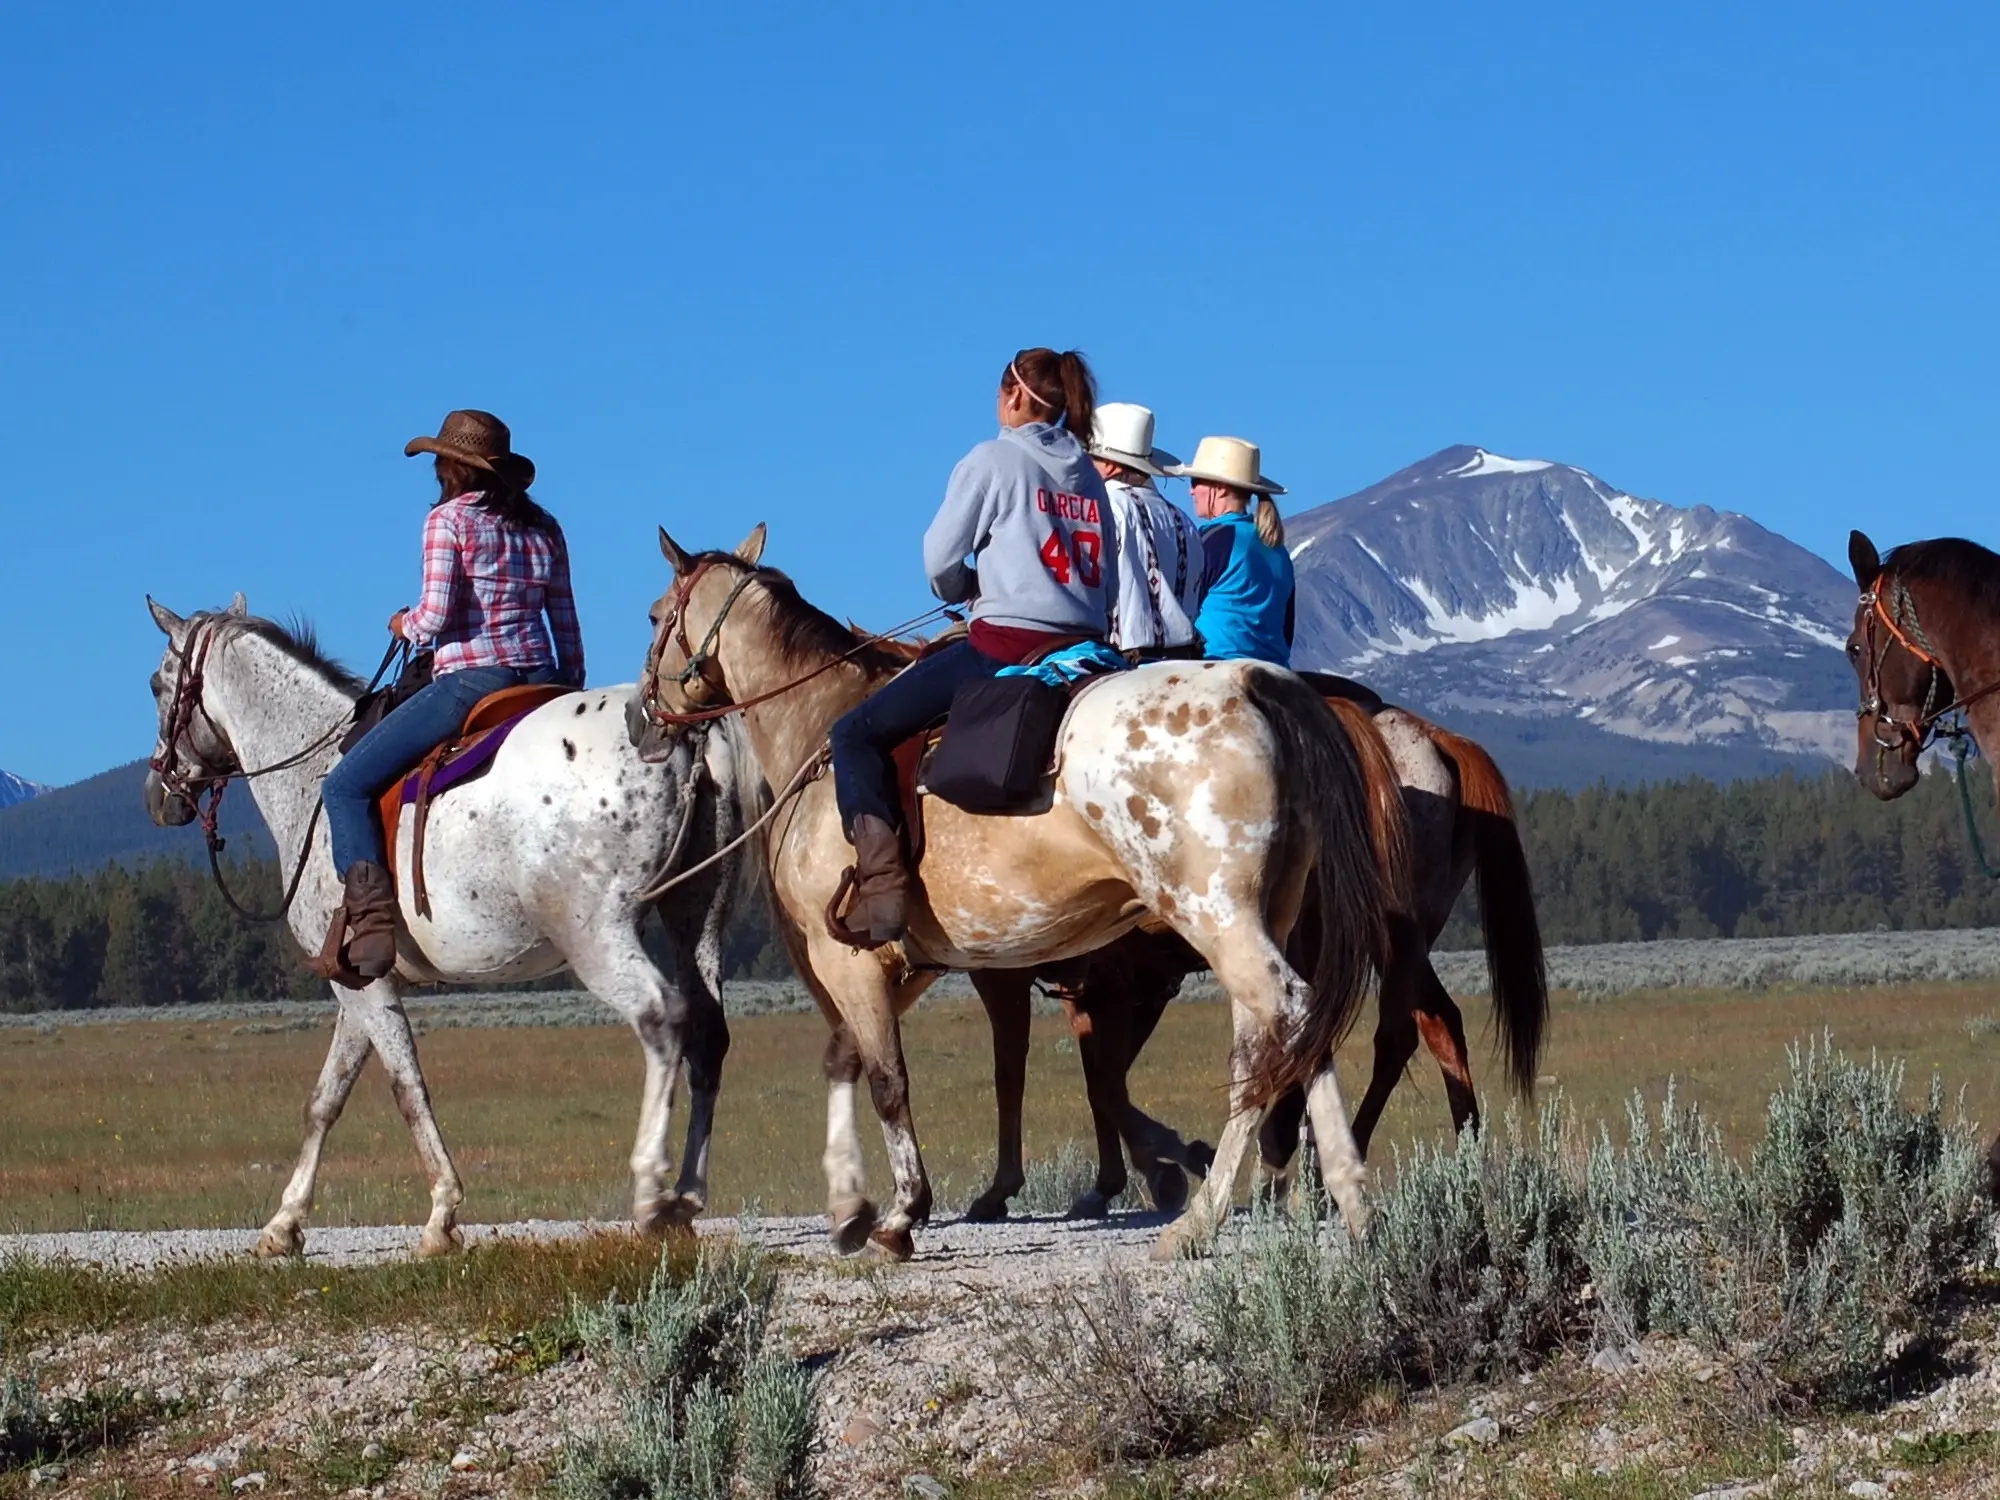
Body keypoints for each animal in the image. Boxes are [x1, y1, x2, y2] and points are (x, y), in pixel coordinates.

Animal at [139, 596, 752, 1256]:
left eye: (156, 685)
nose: (158, 795)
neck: (312, 776)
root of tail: (680, 733)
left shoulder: (363, 985)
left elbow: (407, 1088)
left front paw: (441, 1214)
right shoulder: (359, 982)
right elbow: (326, 1099)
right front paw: (284, 1224)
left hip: (598, 935)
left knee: (661, 1019)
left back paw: (650, 1195)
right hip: (696, 919)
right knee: (707, 1036)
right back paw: (687, 1195)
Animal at [628, 524, 1408, 1256]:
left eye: (655, 614)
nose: (641, 720)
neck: (817, 726)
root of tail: (1252, 683)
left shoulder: (848, 958)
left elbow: (889, 1079)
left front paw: (901, 1214)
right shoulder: (916, 963)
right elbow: (855, 1058)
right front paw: (852, 1206)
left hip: (1220, 919)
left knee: (1291, 1016)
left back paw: (1303, 1200)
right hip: (1261, 919)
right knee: (1276, 1044)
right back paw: (1262, 1211)